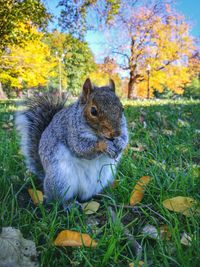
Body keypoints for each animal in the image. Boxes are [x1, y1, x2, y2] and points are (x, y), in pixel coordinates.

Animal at [15, 78, 128, 206]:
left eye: (122, 109)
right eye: (93, 111)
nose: (115, 133)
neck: (97, 134)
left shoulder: (123, 128)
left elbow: (125, 137)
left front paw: (120, 142)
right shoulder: (71, 131)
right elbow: (81, 148)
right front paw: (105, 146)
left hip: (102, 179)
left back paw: (102, 196)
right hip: (60, 180)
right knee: (58, 199)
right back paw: (69, 204)